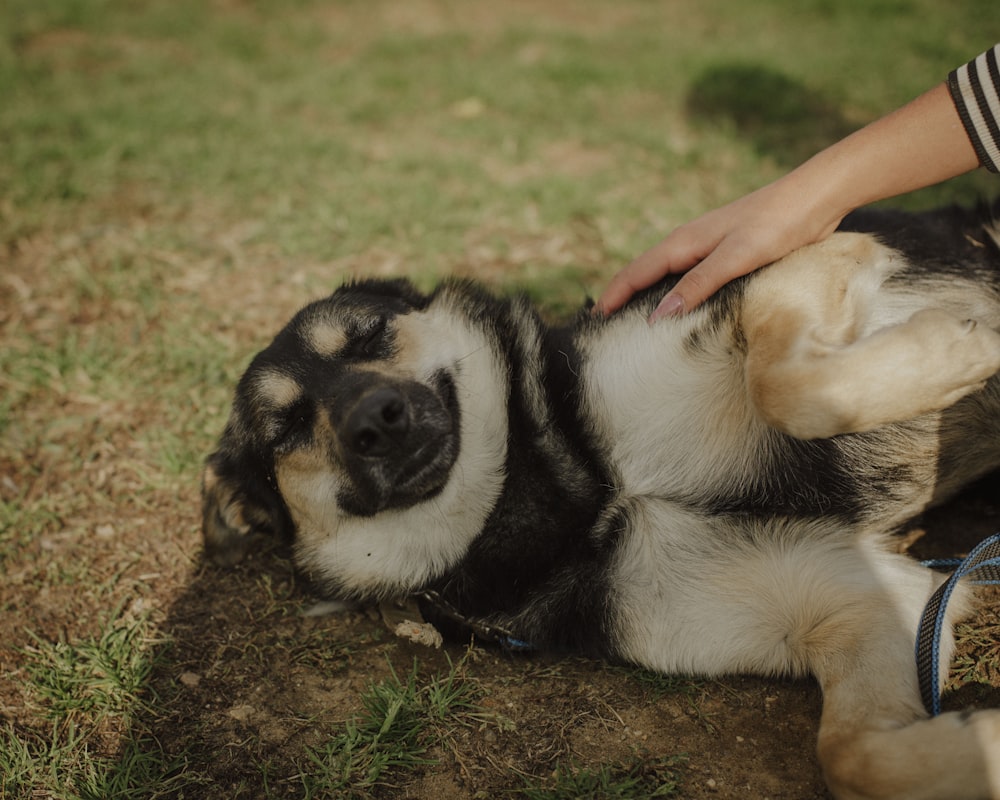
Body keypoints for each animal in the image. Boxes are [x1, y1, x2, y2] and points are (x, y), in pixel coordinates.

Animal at [201, 206, 1000, 800]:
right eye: (284, 428)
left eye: (369, 333)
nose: (379, 419)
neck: (578, 502)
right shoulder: (867, 599)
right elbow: (852, 757)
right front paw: (984, 744)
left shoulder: (776, 273)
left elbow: (786, 385)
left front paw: (963, 350)